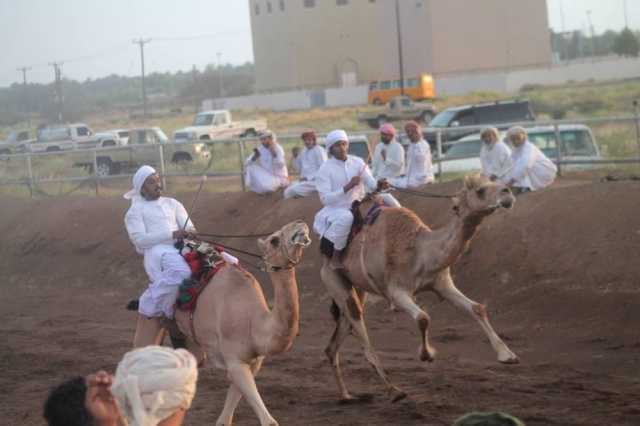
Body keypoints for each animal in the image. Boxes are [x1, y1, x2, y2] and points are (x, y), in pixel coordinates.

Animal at [175, 220, 310, 426]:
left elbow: (226, 417)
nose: (300, 223)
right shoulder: (235, 359)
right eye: (274, 240)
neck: (255, 323)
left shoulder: (253, 361)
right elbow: (269, 421)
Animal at [320, 174, 520, 402]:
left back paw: (346, 395)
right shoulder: (396, 291)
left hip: (357, 288)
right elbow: (423, 317)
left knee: (336, 339)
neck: (420, 251)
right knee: (360, 333)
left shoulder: (442, 283)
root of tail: (325, 262)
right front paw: (427, 355)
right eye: (480, 191)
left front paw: (508, 355)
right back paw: (395, 391)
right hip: (333, 279)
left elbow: (477, 308)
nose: (507, 193)